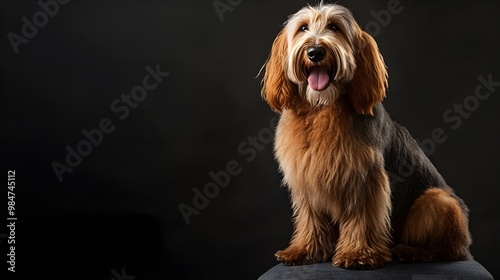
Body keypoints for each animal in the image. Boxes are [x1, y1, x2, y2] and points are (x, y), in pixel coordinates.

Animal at [262, 2, 472, 270]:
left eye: (335, 27)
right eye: (303, 28)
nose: (315, 52)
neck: (321, 108)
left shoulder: (364, 180)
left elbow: (362, 220)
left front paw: (358, 254)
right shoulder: (307, 180)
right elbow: (310, 221)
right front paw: (304, 250)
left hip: (437, 201)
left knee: (447, 251)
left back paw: (411, 251)